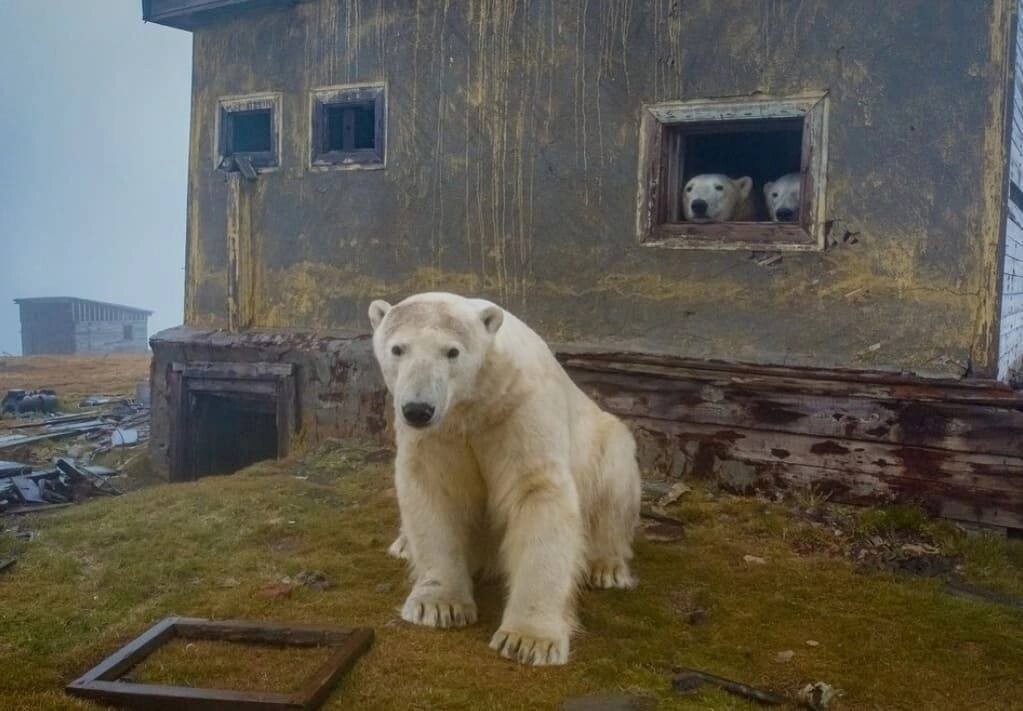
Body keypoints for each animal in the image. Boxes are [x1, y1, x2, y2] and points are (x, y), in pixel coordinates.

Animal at [369, 292, 641, 666]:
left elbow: (537, 492)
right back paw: (403, 545)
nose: (418, 409)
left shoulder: (519, 409)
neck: (475, 403)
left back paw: (607, 567)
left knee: (615, 484)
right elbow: (433, 491)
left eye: (452, 352)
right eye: (398, 348)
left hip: (605, 442)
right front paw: (437, 606)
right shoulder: (440, 433)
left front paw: (529, 640)